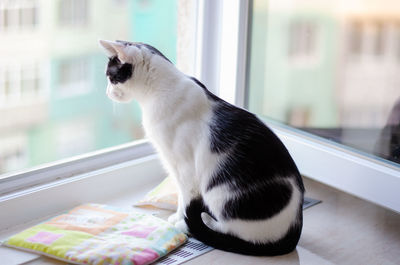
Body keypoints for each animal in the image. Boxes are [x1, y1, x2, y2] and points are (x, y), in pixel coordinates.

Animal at [99, 39, 304, 256]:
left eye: (111, 77)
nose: (106, 93)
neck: (160, 89)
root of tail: (294, 231)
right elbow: (181, 197)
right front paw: (179, 218)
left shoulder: (184, 168)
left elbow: (184, 199)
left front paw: (180, 221)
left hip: (220, 195)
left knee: (228, 230)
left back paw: (203, 221)